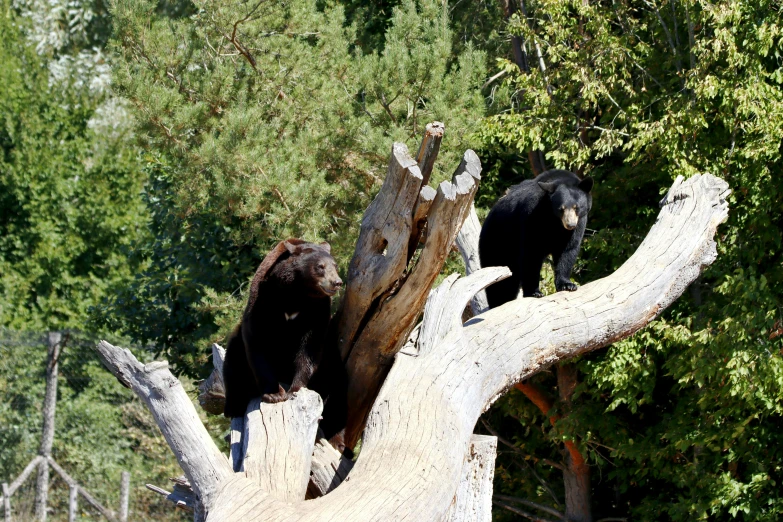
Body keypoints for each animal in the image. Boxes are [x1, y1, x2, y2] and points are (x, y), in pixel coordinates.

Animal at [222, 240, 348, 446]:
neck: (296, 294)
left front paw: (295, 389)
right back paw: (234, 405)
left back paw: (336, 439)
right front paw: (274, 393)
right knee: (233, 362)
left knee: (338, 390)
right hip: (236, 347)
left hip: (332, 361)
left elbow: (310, 348)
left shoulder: (317, 311)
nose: (336, 282)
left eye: (335, 266)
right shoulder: (264, 300)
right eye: (320, 266)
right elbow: (257, 341)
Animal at [478, 169, 596, 306]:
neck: (555, 222)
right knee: (499, 283)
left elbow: (568, 250)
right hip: (497, 241)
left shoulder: (579, 224)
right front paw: (534, 292)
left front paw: (567, 285)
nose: (570, 224)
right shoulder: (533, 215)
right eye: (561, 209)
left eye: (576, 207)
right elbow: (532, 252)